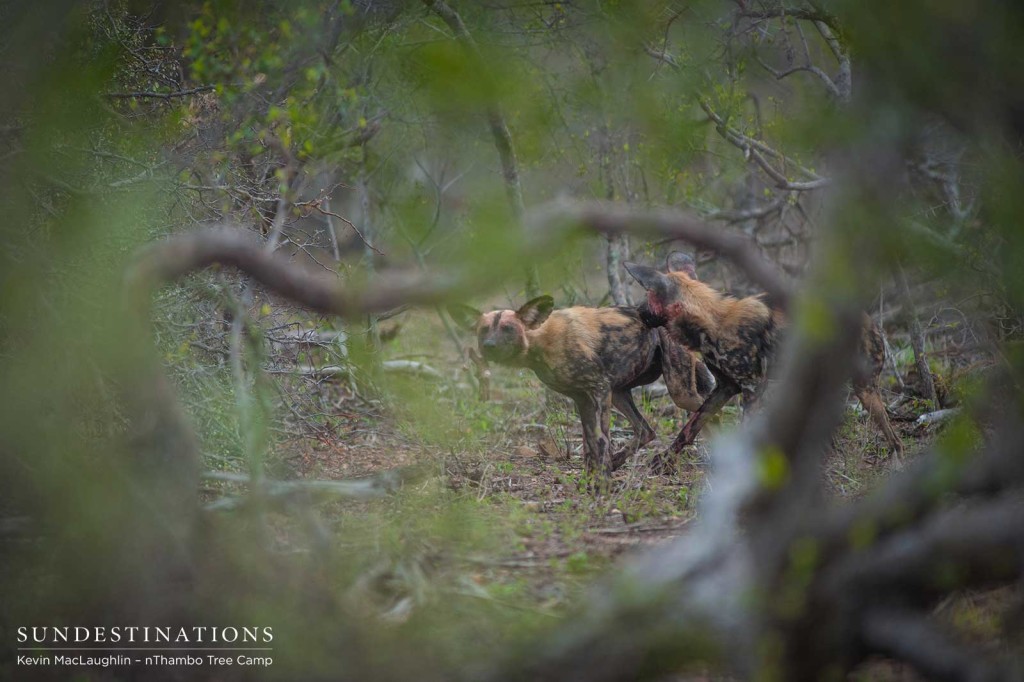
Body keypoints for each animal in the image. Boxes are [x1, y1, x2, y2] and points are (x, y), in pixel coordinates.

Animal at [448, 294, 712, 481]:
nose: (489, 346)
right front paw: (590, 478)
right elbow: (589, 446)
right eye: (484, 330)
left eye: (508, 329)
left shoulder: (599, 389)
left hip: (679, 392)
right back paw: (620, 461)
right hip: (620, 393)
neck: (539, 340)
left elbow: (601, 440)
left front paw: (600, 482)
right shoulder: (582, 398)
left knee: (707, 412)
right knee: (646, 430)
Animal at [622, 250, 905, 462]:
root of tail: (868, 319)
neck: (712, 322)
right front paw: (663, 462)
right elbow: (689, 428)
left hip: (864, 390)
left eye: (648, 297)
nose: (636, 311)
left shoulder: (753, 387)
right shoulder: (726, 387)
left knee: (894, 438)